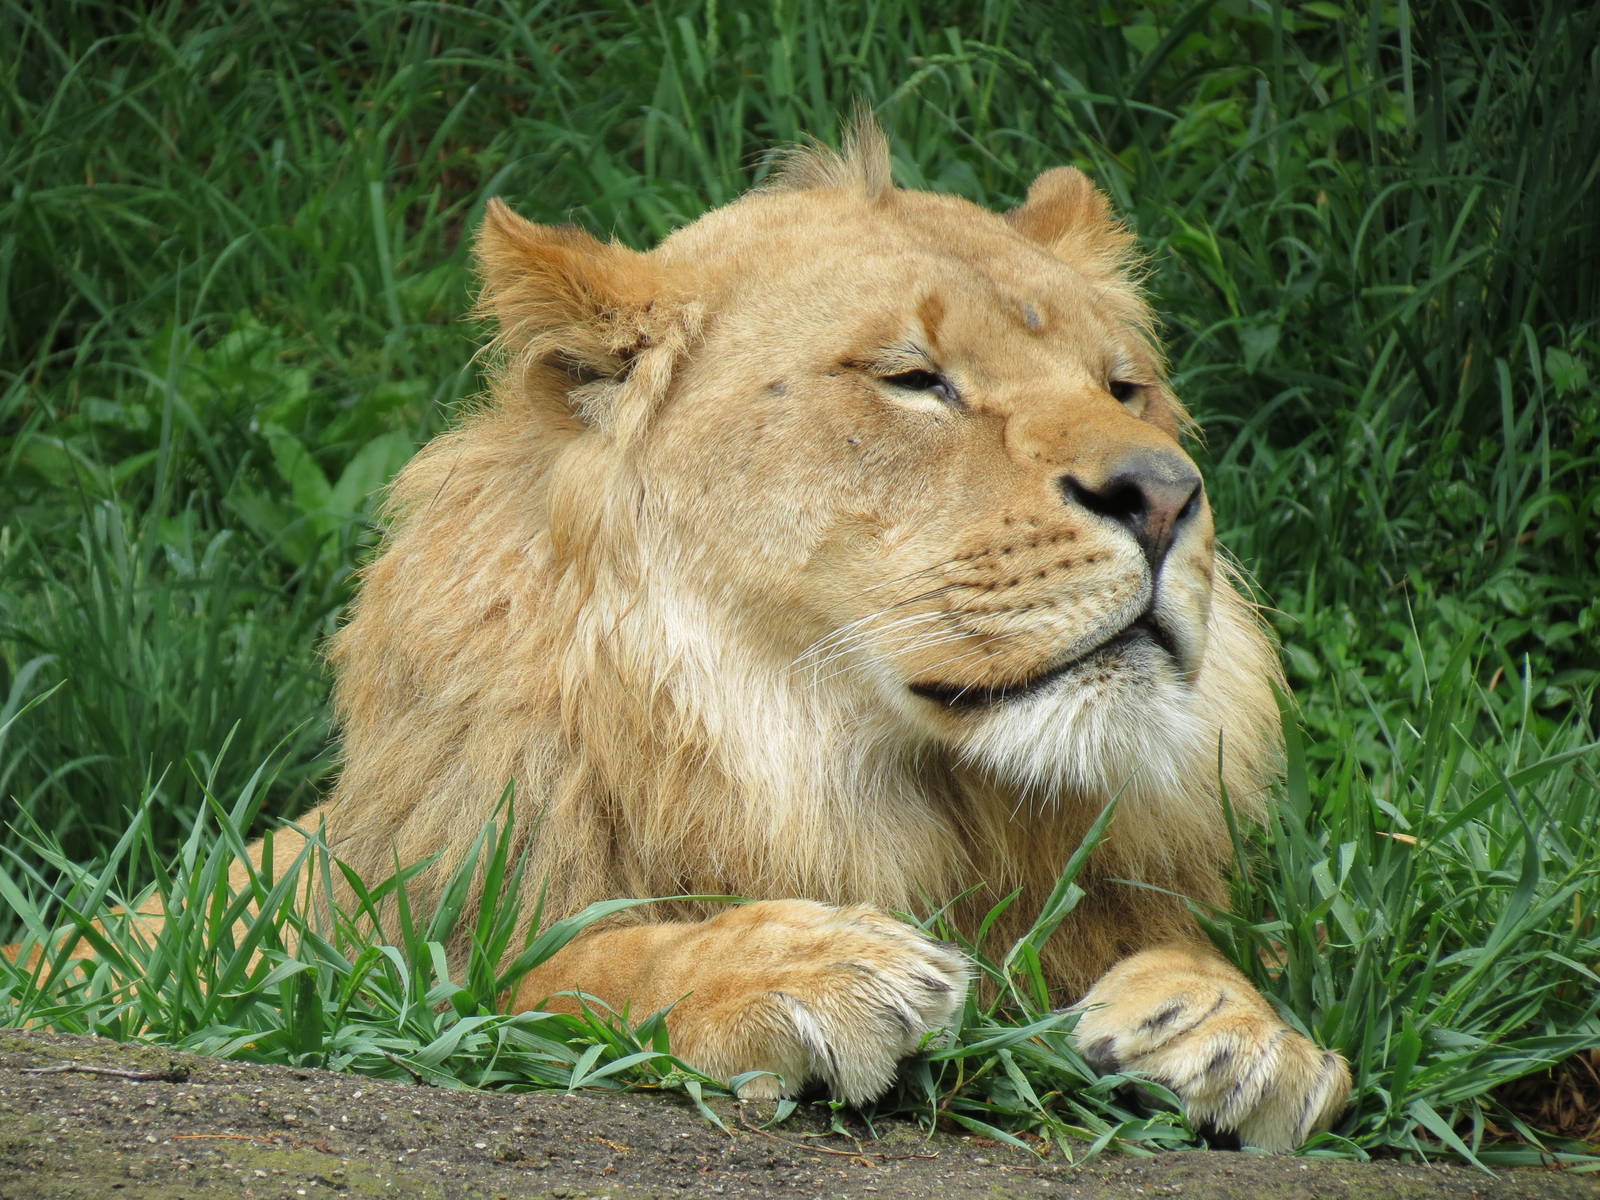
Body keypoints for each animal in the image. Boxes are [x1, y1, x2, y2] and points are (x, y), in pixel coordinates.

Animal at [27, 121, 1351, 1150]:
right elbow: (564, 964)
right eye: (913, 378)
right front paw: (795, 969)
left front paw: (1227, 1026)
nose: (1165, 495)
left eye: (1124, 388)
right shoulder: (322, 968)